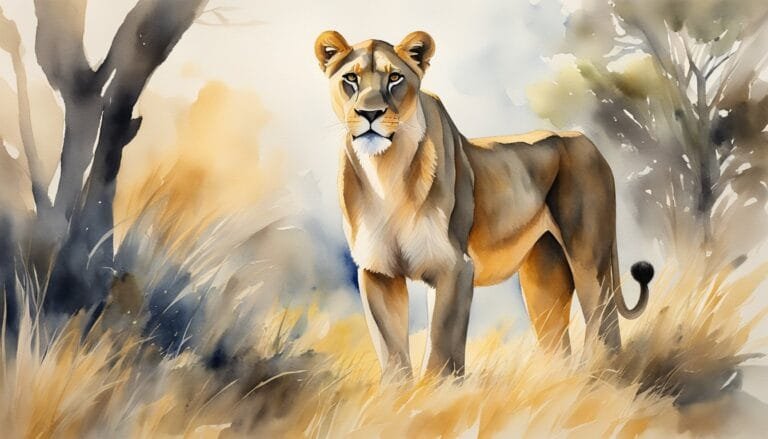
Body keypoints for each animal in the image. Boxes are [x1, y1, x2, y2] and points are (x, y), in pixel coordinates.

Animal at [314, 30, 654, 377]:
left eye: (395, 77)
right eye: (351, 78)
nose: (370, 114)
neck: (386, 170)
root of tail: (587, 141)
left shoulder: (454, 266)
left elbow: (441, 345)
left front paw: (437, 389)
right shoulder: (378, 272)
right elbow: (391, 350)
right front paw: (401, 390)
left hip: (588, 258)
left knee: (603, 319)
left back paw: (601, 373)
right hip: (543, 274)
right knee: (555, 338)